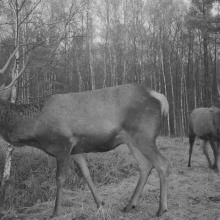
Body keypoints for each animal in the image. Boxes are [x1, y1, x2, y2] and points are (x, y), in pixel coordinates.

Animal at [0, 46, 170, 217]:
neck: (36, 131)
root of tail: (160, 97)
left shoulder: (63, 144)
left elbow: (60, 178)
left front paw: (55, 212)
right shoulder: (77, 149)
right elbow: (86, 174)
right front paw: (100, 204)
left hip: (144, 134)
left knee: (162, 163)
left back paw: (161, 208)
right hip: (131, 140)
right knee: (145, 166)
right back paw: (129, 205)